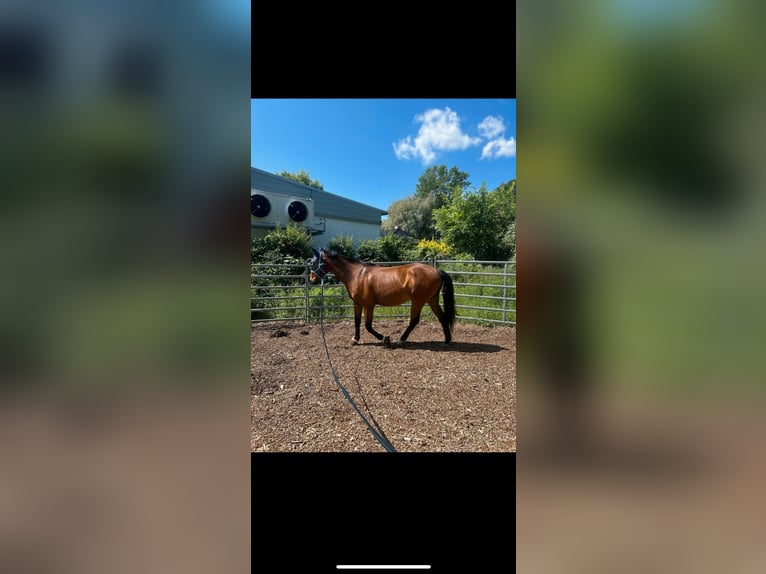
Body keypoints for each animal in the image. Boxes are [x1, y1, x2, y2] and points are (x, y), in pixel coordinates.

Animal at [308, 248, 455, 346]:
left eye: (314, 263)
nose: (311, 279)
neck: (356, 274)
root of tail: (437, 271)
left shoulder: (369, 305)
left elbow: (368, 325)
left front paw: (384, 338)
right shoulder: (357, 303)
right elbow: (357, 321)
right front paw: (355, 339)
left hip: (418, 301)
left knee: (414, 321)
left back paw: (401, 339)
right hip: (432, 300)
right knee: (442, 318)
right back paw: (447, 340)